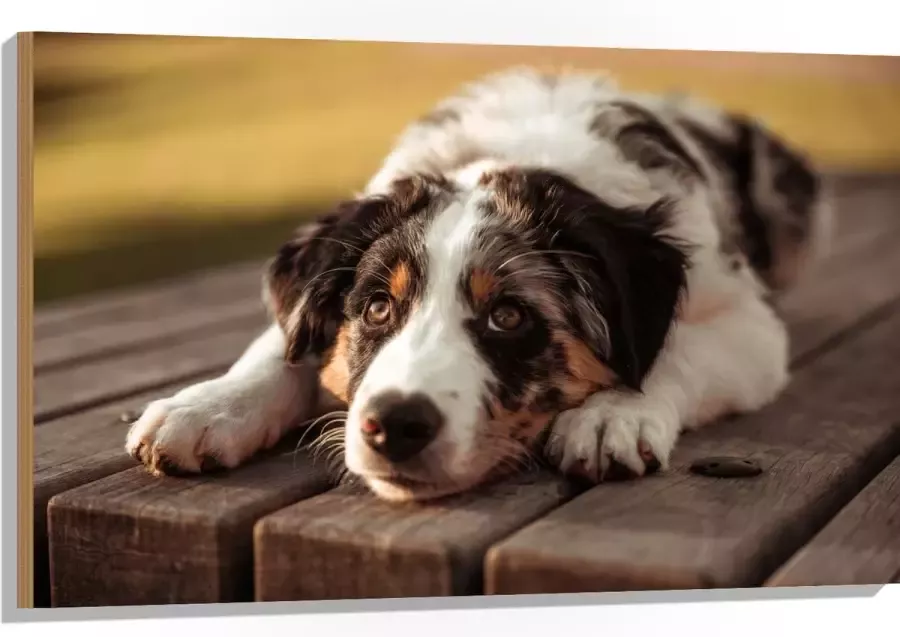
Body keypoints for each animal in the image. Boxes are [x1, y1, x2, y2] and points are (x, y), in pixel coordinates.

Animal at [125, 66, 828, 502]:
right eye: (376, 308)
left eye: (509, 316)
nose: (394, 426)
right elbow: (281, 344)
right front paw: (206, 408)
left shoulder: (749, 324)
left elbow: (675, 350)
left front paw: (613, 415)